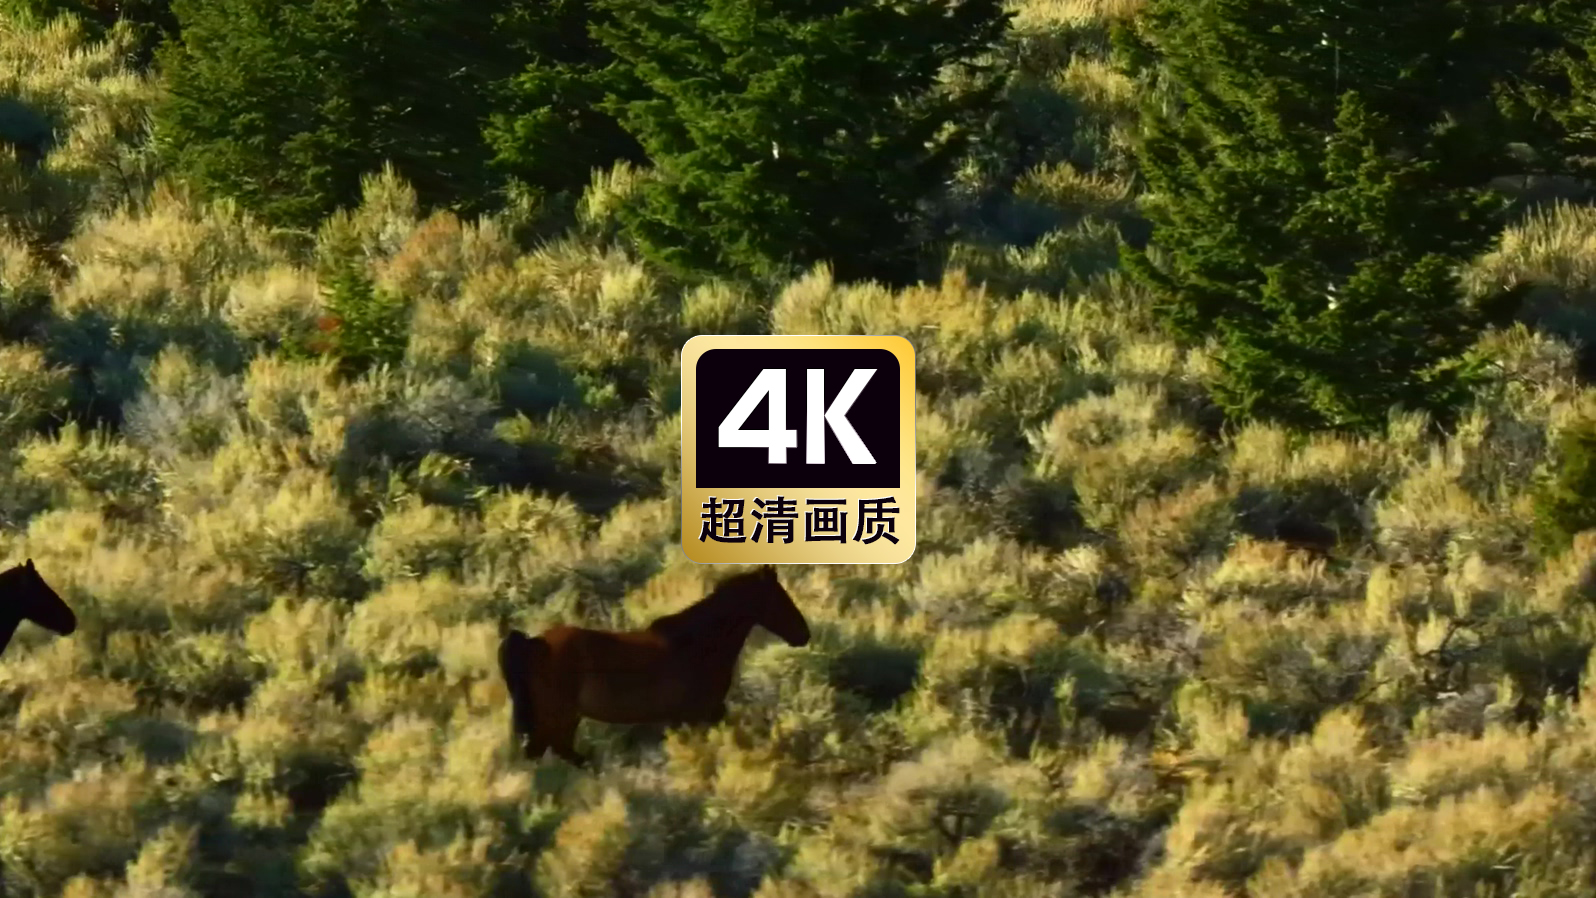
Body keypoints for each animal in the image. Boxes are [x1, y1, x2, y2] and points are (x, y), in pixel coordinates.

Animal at [496, 564, 810, 768]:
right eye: (780, 599)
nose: (804, 634)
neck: (698, 645)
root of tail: (534, 643)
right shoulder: (695, 714)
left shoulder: (699, 714)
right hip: (557, 716)